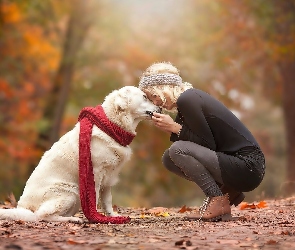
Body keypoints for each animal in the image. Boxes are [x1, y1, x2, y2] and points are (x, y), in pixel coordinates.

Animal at [0, 86, 161, 223]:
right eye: (144, 97)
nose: (160, 107)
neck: (111, 125)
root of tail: (24, 208)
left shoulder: (109, 176)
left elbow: (107, 200)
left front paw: (112, 216)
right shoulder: (96, 173)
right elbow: (94, 197)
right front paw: (96, 216)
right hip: (71, 191)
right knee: (42, 215)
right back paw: (72, 219)